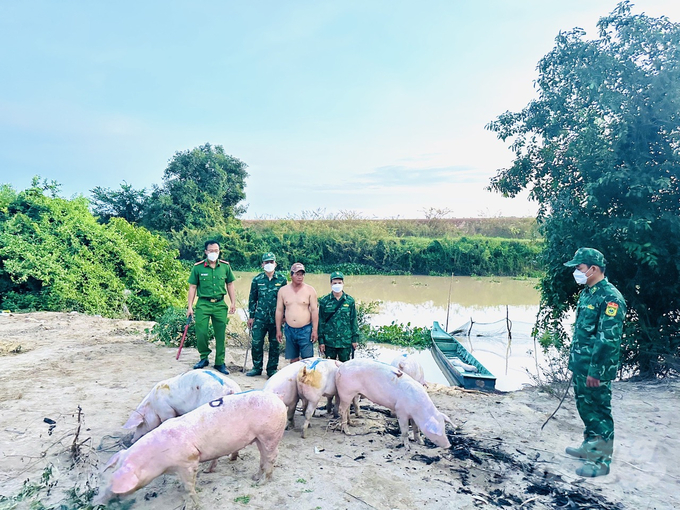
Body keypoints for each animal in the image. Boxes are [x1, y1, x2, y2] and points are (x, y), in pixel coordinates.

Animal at [96, 390, 286, 506]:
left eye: (112, 483)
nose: (95, 501)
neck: (159, 461)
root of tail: (276, 397)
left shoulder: (189, 460)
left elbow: (189, 484)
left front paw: (195, 502)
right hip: (259, 437)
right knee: (262, 457)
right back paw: (255, 477)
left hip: (270, 433)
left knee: (272, 456)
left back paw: (263, 482)